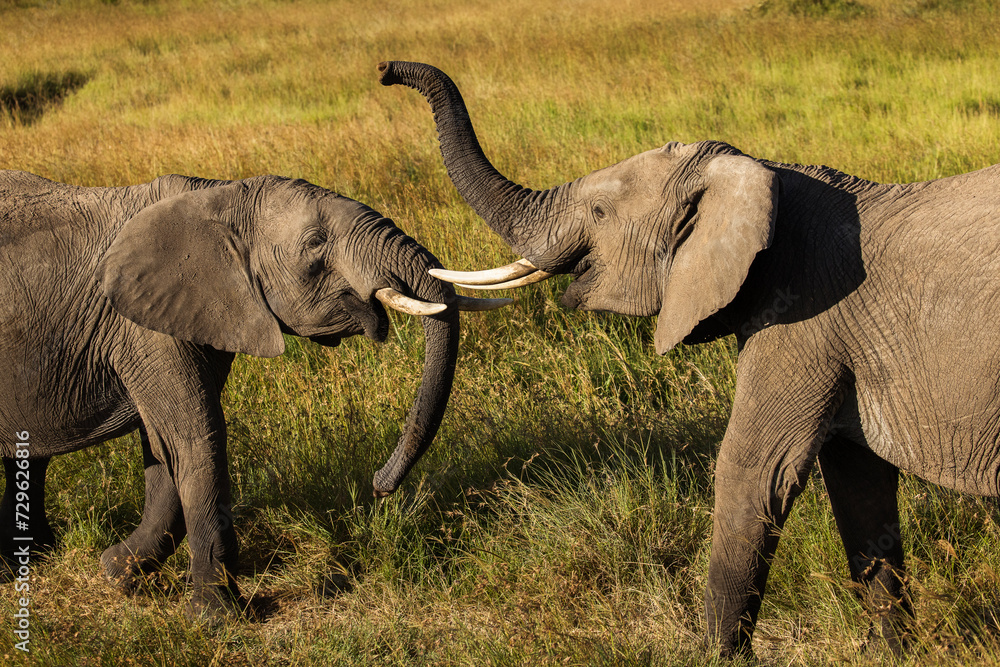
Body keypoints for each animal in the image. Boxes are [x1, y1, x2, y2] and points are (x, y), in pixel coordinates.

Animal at [0, 169, 507, 621]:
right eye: (316, 243)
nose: (380, 486)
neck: (219, 196)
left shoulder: (192, 316)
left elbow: (165, 448)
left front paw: (116, 572)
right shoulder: (143, 327)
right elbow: (194, 439)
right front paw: (216, 618)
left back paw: (31, 556)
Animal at [379, 60, 1000, 656]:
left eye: (599, 211)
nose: (386, 70)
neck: (765, 175)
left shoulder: (805, 322)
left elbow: (754, 473)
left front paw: (716, 655)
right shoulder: (842, 341)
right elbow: (859, 485)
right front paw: (896, 652)